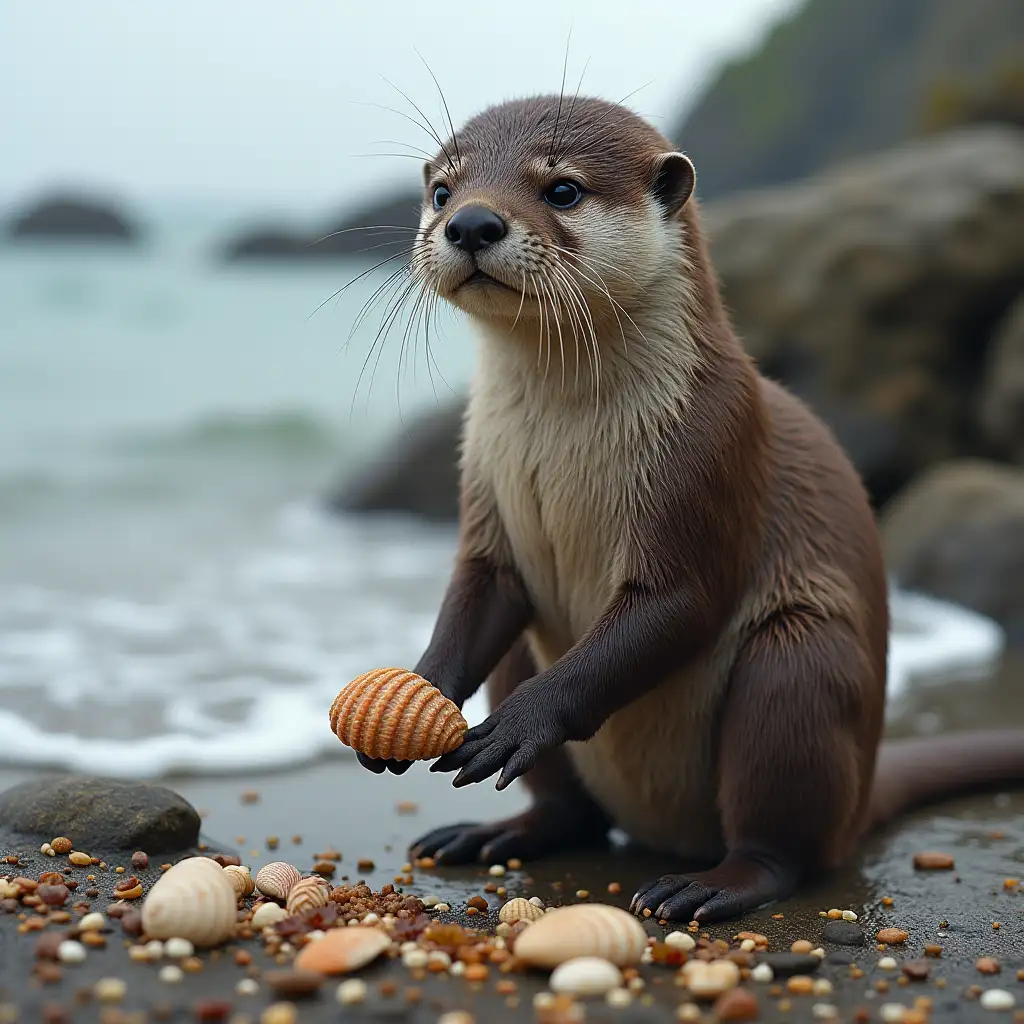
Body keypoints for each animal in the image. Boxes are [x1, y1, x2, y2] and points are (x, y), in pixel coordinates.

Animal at [354, 96, 1024, 925]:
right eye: (444, 191)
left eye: (563, 189)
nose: (472, 223)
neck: (562, 432)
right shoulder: (480, 478)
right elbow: (478, 590)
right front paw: (417, 691)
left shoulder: (714, 443)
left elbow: (684, 601)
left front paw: (524, 721)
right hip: (536, 662)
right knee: (571, 804)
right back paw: (500, 833)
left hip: (800, 666)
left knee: (784, 831)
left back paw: (714, 884)